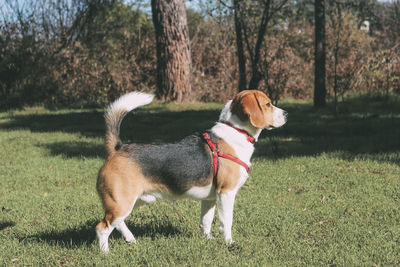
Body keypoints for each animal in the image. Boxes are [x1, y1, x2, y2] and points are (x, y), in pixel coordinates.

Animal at [95, 90, 286, 253]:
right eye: (267, 104)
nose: (286, 114)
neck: (236, 130)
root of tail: (118, 148)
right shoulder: (226, 192)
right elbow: (226, 222)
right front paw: (229, 243)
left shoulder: (210, 198)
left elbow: (206, 221)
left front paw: (208, 240)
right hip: (122, 202)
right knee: (102, 227)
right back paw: (106, 253)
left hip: (131, 201)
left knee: (117, 222)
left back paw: (131, 239)